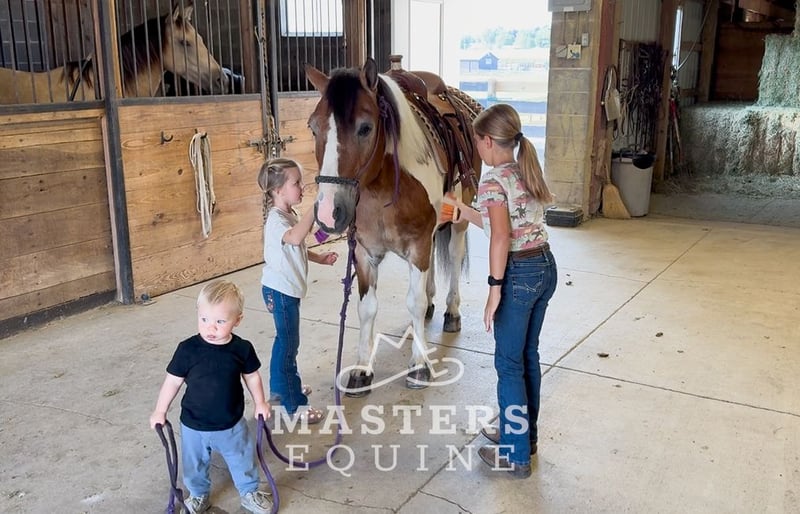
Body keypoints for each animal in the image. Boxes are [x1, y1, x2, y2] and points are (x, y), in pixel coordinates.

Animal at [305, 57, 483, 396]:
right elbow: (367, 308)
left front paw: (419, 366)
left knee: (454, 259)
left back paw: (451, 312)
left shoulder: (419, 245)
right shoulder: (364, 253)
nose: (328, 211)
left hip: (459, 221)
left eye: (365, 127)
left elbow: (414, 301)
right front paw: (362, 370)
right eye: (313, 126)